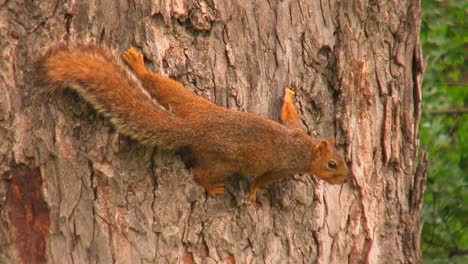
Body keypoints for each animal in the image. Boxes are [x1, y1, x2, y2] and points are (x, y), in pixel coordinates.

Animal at [36, 44, 350, 202]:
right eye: (332, 164)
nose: (346, 180)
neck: (306, 148)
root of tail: (194, 130)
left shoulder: (295, 129)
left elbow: (288, 114)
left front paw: (288, 95)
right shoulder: (283, 167)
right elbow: (263, 179)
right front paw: (253, 192)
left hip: (191, 103)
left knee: (162, 86)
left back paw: (138, 67)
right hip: (222, 162)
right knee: (201, 174)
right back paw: (211, 188)